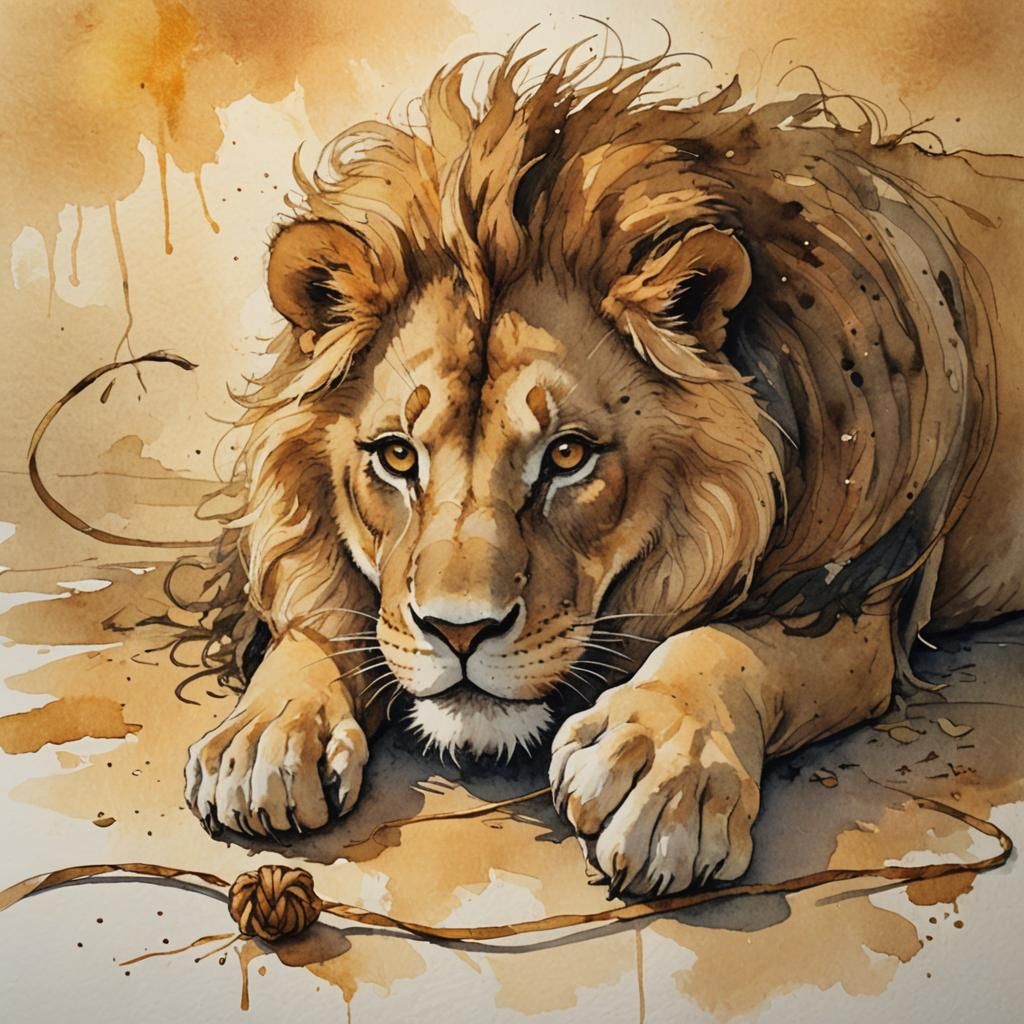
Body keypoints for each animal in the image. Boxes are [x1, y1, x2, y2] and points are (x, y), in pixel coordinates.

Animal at [181, 46, 1021, 897]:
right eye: (395, 455)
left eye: (567, 454)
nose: (460, 632)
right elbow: (323, 613)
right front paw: (269, 729)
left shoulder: (852, 601)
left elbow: (726, 643)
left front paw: (660, 768)